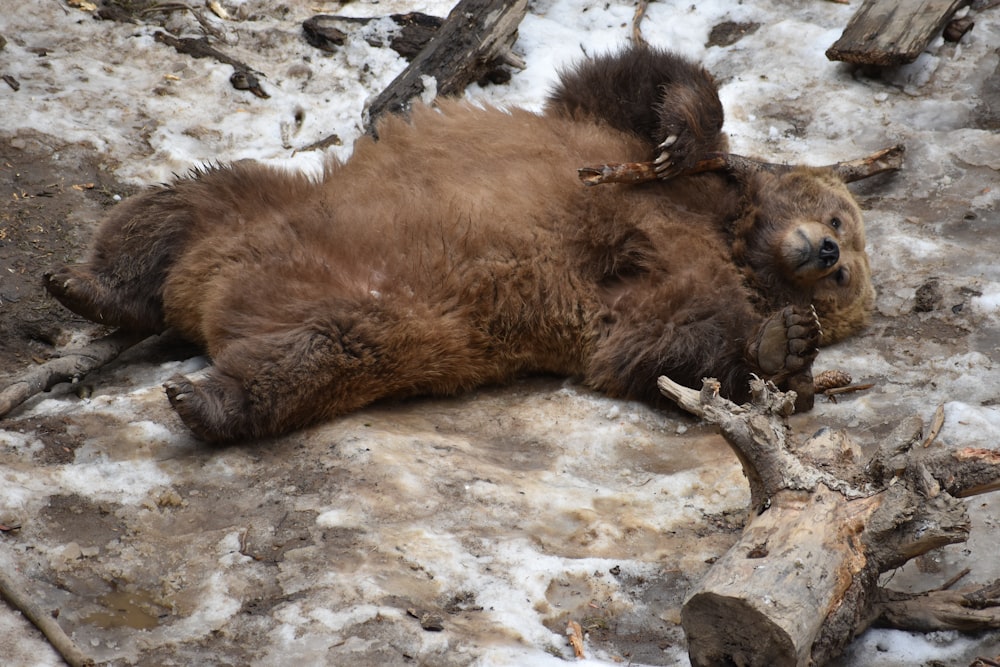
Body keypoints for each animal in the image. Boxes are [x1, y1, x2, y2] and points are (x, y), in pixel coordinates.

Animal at [43, 47, 872, 444]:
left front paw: (784, 342)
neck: (730, 232)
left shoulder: (658, 281)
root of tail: (209, 300)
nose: (828, 255)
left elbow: (661, 346)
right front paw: (682, 127)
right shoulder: (612, 148)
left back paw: (203, 397)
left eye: (847, 279)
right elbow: (626, 85)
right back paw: (90, 285)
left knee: (312, 355)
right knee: (184, 199)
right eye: (839, 219)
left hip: (392, 320)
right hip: (276, 205)